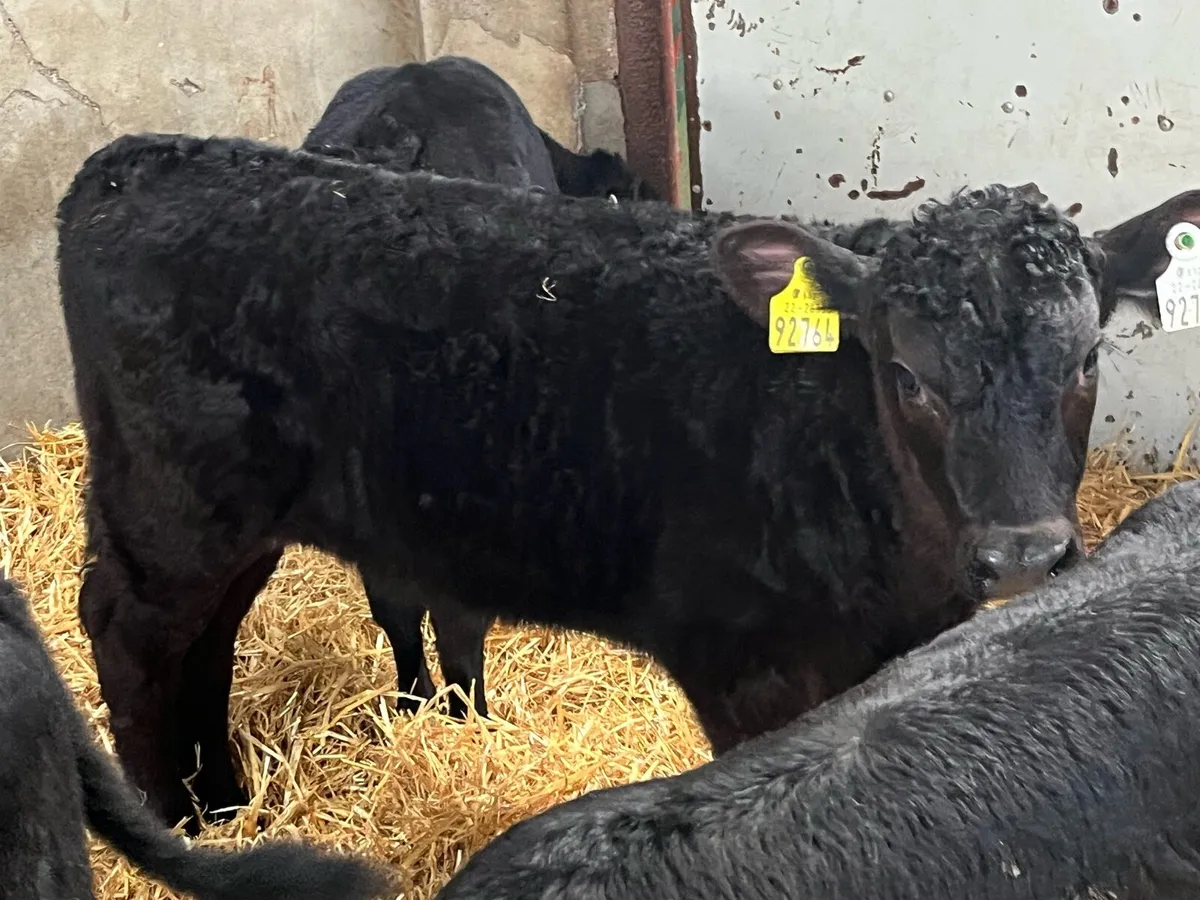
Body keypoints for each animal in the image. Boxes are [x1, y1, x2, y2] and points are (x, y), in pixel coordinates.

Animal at [55, 130, 1198, 832]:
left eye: (1086, 359)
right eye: (909, 375)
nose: (1025, 554)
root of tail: (135, 161)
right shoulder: (747, 663)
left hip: (236, 517)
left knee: (207, 639)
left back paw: (221, 801)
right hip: (169, 502)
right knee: (126, 625)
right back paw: (176, 818)